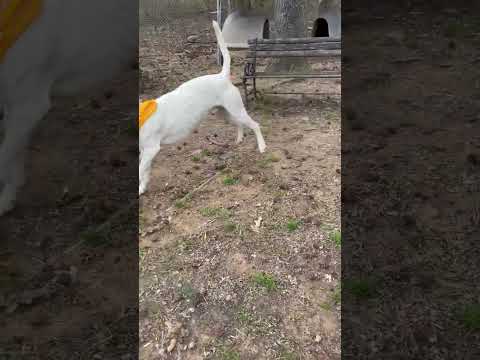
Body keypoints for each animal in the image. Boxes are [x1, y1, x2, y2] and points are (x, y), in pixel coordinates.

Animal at [139, 21, 266, 195]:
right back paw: (239, 139)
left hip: (237, 110)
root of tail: (222, 76)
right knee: (240, 124)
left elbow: (140, 171)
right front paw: (142, 188)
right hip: (225, 114)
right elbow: (144, 173)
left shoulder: (151, 149)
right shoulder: (145, 151)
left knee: (255, 125)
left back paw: (262, 147)